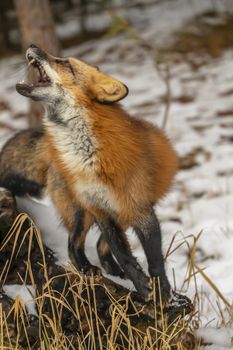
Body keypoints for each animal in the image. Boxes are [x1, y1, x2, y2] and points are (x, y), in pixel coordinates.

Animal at [0, 45, 178, 302]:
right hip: (80, 212)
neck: (87, 156)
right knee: (74, 245)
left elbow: (153, 262)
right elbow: (122, 254)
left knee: (100, 248)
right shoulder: (99, 208)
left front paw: (162, 294)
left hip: (116, 214)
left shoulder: (139, 210)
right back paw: (87, 269)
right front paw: (145, 288)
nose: (33, 46)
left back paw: (113, 274)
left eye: (64, 63)